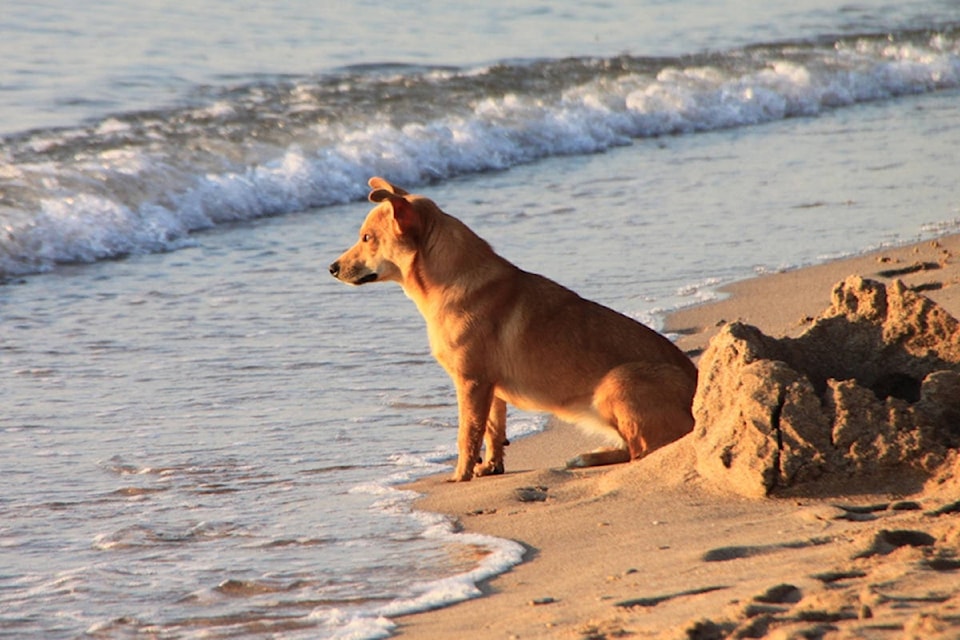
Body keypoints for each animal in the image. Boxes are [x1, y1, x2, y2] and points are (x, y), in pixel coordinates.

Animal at [330, 176, 696, 480]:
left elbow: (468, 434)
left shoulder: (471, 382)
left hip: (616, 383)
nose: (331, 268)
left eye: (367, 239)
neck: (449, 280)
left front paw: (460, 475)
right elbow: (493, 429)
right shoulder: (489, 387)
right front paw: (491, 467)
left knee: (644, 452)